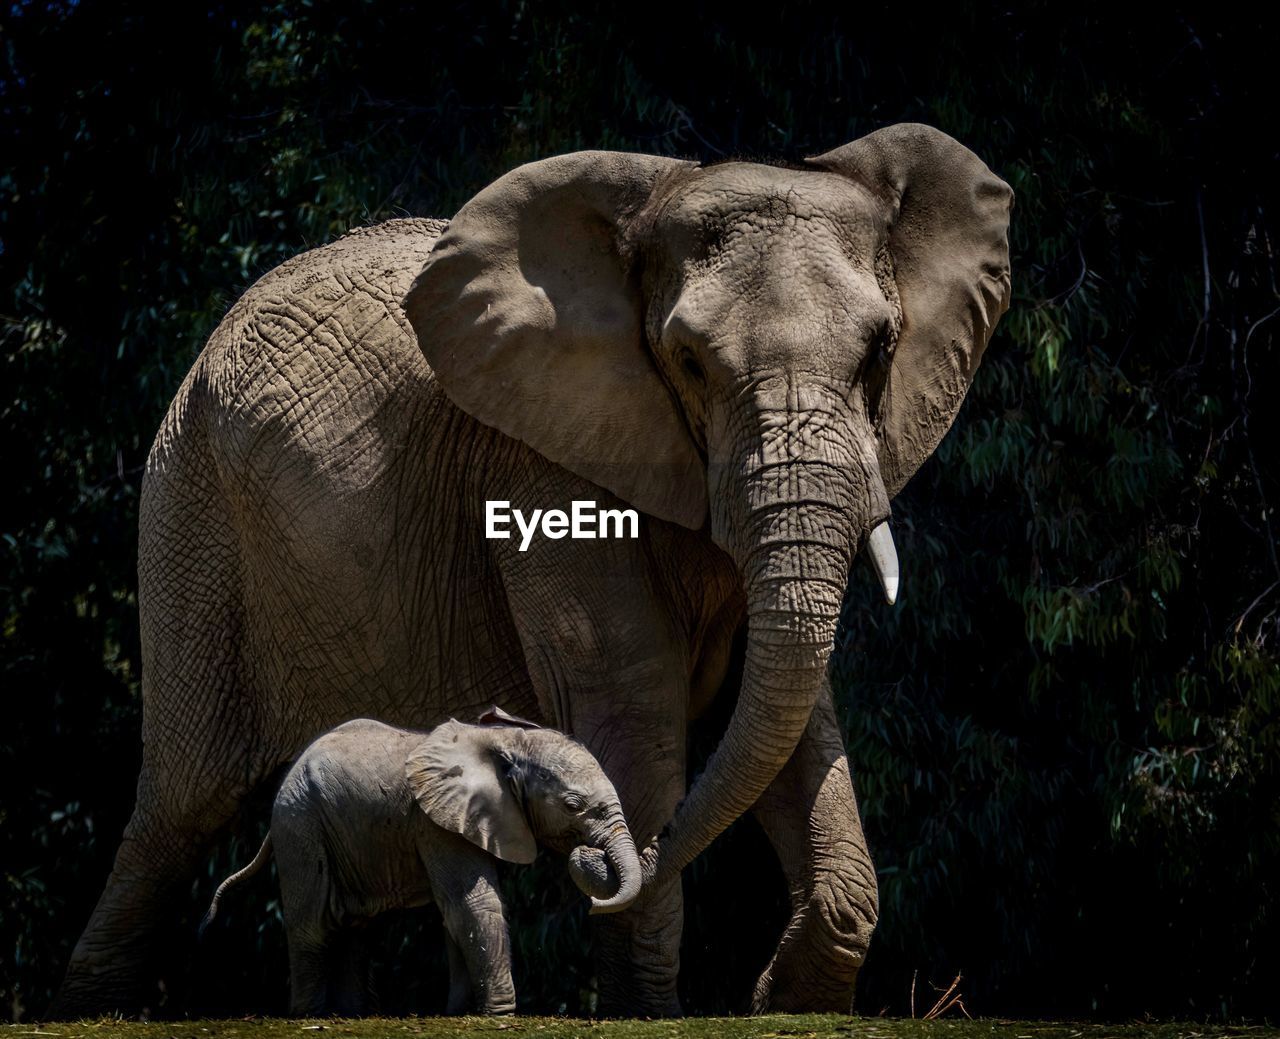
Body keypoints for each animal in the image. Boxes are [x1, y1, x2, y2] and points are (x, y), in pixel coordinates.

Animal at [202, 711, 637, 1008]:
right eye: (573, 806)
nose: (588, 854)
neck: (507, 739)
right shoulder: (436, 822)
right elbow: (473, 904)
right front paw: (500, 1014)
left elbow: (456, 913)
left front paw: (463, 1013)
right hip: (299, 826)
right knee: (312, 926)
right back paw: (309, 1015)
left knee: (352, 929)